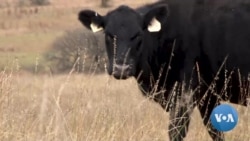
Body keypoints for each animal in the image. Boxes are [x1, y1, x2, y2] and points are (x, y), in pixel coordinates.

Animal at [78, 0, 250, 140]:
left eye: (138, 35)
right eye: (108, 35)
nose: (121, 68)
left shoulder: (185, 92)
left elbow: (177, 131)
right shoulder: (209, 95)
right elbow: (215, 131)